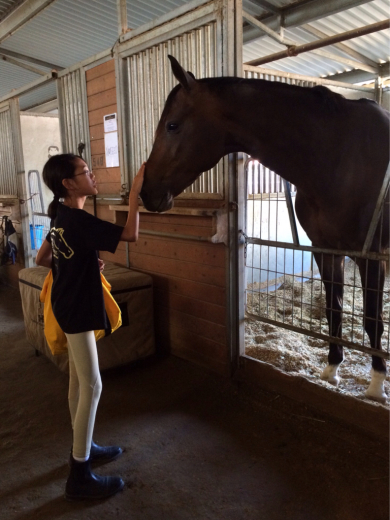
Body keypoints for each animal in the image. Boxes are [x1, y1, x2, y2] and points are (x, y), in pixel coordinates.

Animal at [141, 53, 390, 402]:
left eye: (172, 125)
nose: (146, 193)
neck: (339, 157)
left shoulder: (371, 256)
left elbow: (372, 319)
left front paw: (377, 385)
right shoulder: (327, 251)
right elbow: (334, 308)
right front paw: (332, 369)